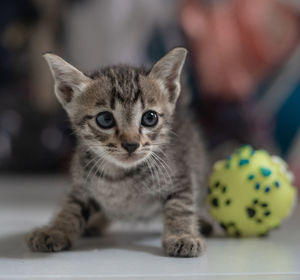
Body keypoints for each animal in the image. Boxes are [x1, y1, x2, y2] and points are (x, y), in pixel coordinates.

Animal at [26, 47, 209, 258]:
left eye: (150, 118)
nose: (131, 144)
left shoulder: (181, 175)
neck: (119, 176)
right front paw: (55, 230)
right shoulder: (81, 184)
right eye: (105, 119)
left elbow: (180, 206)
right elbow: (70, 206)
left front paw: (182, 235)